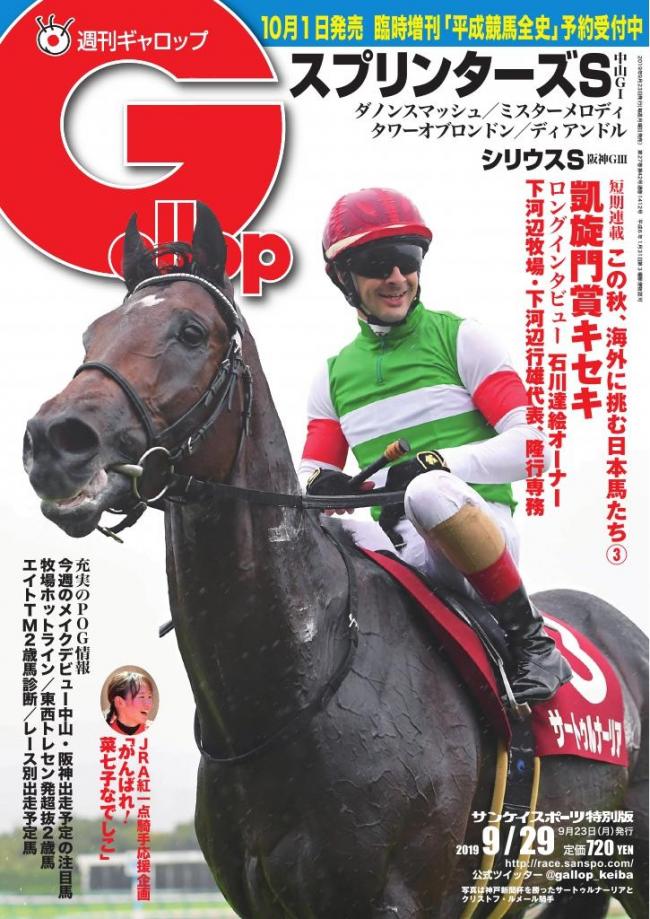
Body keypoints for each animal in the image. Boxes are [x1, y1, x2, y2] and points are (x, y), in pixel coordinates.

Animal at [23, 204, 648, 918]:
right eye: (92, 333)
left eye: (190, 331)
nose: (55, 441)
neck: (295, 682)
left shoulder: (395, 899)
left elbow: (519, 434)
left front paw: (408, 466)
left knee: (435, 491)